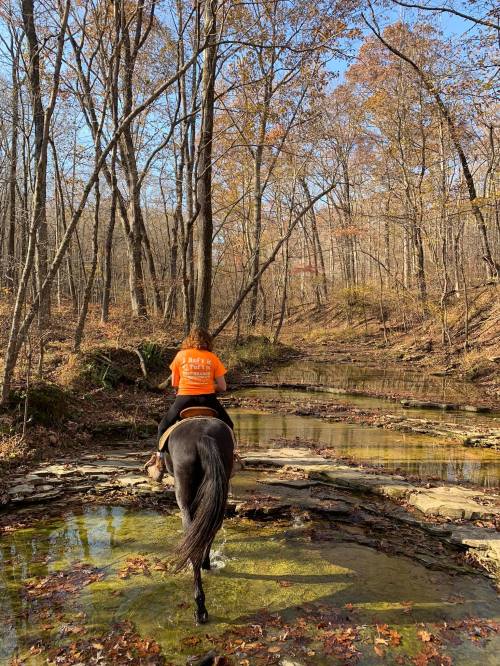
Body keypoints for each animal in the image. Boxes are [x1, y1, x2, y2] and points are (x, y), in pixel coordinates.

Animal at [154, 417, 234, 624]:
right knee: (209, 529)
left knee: (193, 543)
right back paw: (206, 565)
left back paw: (199, 608)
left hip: (184, 497)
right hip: (219, 492)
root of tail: (203, 436)